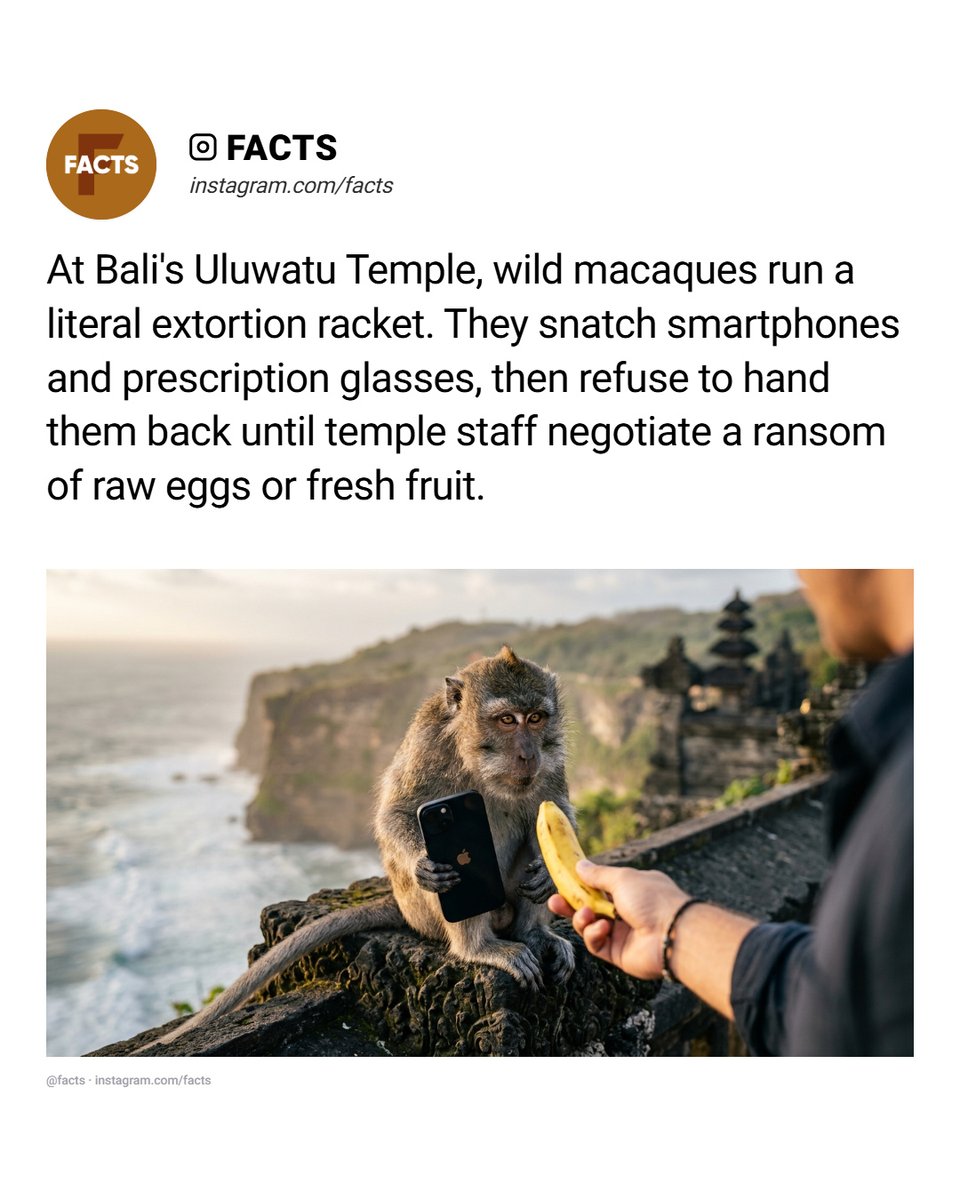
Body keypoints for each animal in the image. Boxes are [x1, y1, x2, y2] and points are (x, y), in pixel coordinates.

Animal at [137, 646, 576, 1052]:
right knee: (454, 892)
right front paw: (424, 865)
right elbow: (395, 812)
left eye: (536, 718)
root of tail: (401, 907)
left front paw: (546, 873)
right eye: (507, 720)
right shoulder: (428, 745)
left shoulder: (550, 760)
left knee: (533, 829)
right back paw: (478, 947)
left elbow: (554, 810)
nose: (527, 754)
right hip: (424, 912)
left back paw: (533, 933)